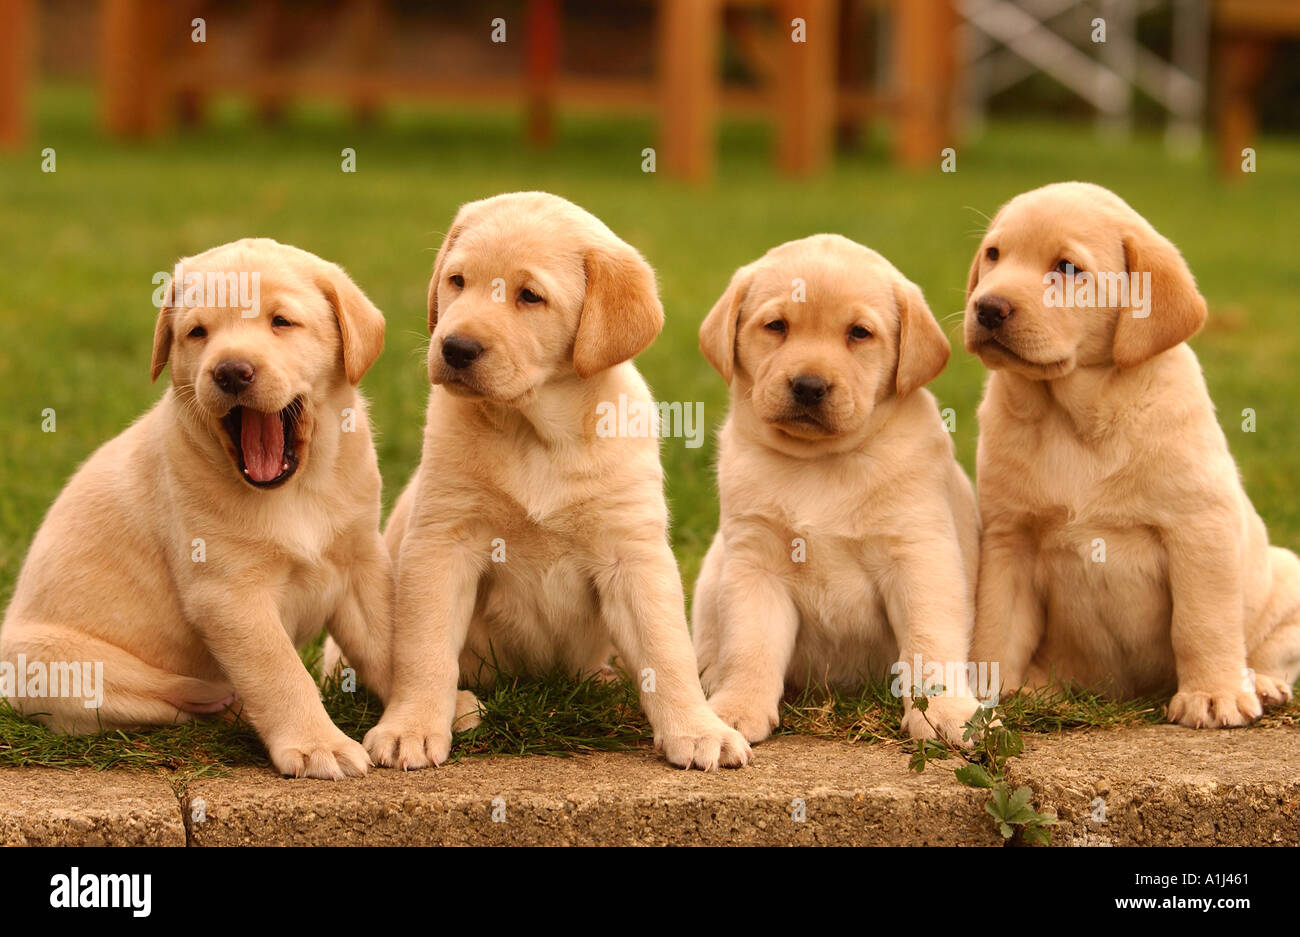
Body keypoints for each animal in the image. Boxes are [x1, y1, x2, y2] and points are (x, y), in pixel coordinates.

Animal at [1, 237, 395, 779]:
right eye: (197, 333)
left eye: (281, 322)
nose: (230, 371)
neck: (296, 489)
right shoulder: (228, 593)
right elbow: (279, 670)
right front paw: (318, 743)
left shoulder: (360, 562)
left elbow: (387, 640)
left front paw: (422, 714)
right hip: (51, 662)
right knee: (165, 696)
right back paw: (219, 699)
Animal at [364, 189, 754, 769]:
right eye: (457, 281)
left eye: (530, 296)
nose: (454, 347)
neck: (537, 432)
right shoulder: (441, 542)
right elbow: (424, 649)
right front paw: (409, 727)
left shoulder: (633, 552)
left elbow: (666, 650)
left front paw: (698, 728)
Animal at [691, 235, 982, 743]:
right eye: (777, 326)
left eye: (859, 333)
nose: (809, 386)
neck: (820, 463)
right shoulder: (755, 564)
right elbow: (748, 645)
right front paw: (736, 709)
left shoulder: (921, 557)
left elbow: (930, 643)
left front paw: (947, 713)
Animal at [967, 180, 1300, 722]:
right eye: (994, 255)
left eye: (1066, 268)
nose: (987, 307)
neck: (1075, 418)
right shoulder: (1009, 538)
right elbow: (996, 627)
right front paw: (980, 693)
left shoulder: (1199, 529)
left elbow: (1202, 622)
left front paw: (1213, 694)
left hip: (1287, 576)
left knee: (1271, 650)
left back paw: (1263, 685)